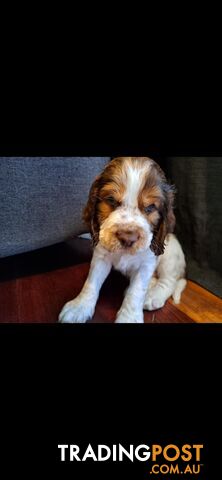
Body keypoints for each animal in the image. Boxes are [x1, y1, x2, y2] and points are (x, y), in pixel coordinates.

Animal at [58, 157, 186, 322]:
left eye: (150, 207)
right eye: (111, 200)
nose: (128, 238)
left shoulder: (147, 263)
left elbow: (136, 292)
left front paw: (129, 318)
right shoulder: (101, 256)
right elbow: (91, 282)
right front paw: (79, 306)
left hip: (170, 256)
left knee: (169, 281)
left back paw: (153, 296)